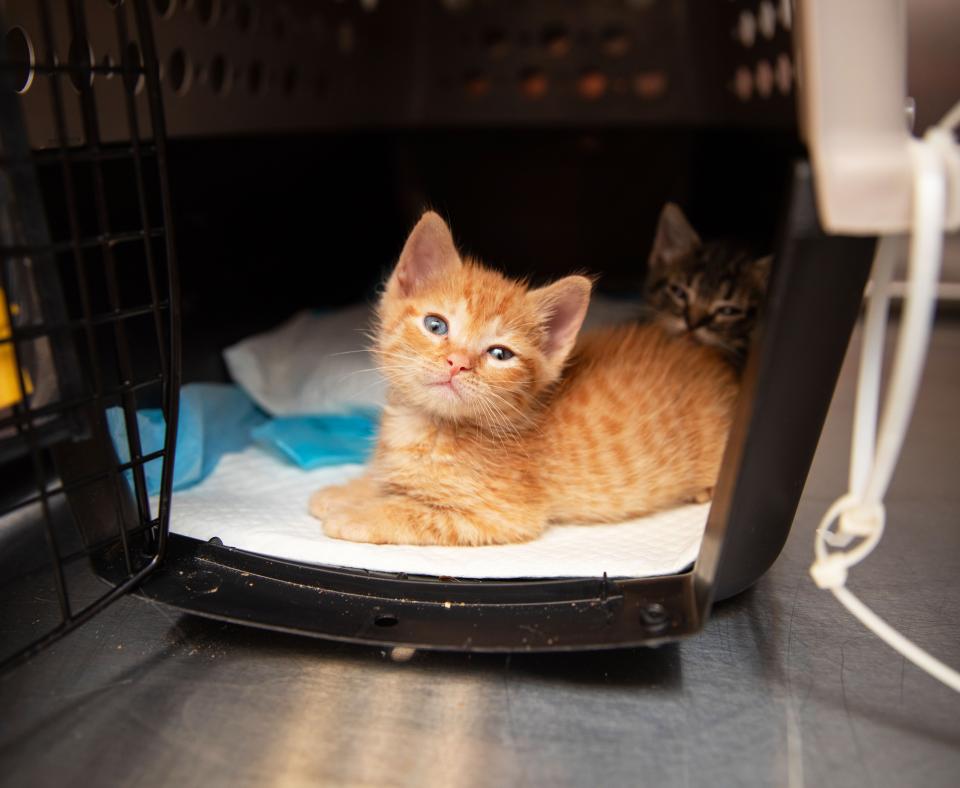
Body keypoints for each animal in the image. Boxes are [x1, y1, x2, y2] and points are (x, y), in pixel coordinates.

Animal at [308, 209, 736, 544]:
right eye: (436, 325)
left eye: (500, 354)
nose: (457, 362)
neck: (423, 427)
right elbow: (385, 481)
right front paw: (348, 491)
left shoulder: (501, 514)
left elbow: (415, 512)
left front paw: (360, 513)